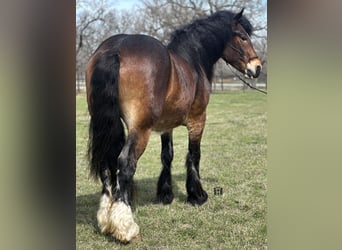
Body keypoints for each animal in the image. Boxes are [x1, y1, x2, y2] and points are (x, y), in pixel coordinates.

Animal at [85, 8, 262, 243]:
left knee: (107, 164)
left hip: (105, 125)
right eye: (243, 37)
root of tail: (115, 48)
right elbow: (194, 155)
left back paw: (106, 221)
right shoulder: (198, 120)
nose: (257, 67)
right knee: (125, 164)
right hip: (140, 130)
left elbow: (167, 156)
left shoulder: (165, 126)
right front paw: (197, 195)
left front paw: (165, 194)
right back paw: (126, 228)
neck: (192, 61)